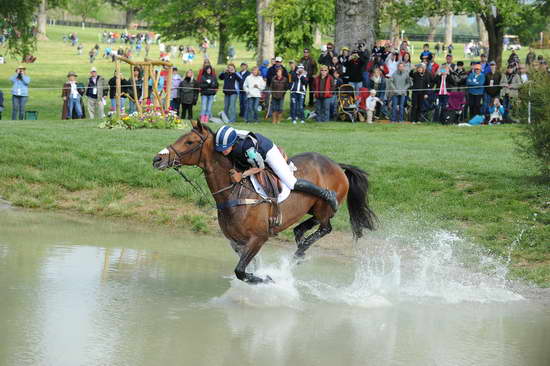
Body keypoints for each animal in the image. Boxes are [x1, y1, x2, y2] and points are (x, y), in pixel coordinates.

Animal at [153, 121, 378, 284]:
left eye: (190, 142)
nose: (157, 159)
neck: (234, 192)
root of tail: (338, 165)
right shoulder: (237, 242)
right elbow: (248, 267)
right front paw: (260, 275)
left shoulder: (258, 238)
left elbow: (240, 271)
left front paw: (265, 279)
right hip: (314, 208)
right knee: (306, 226)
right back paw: (300, 247)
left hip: (322, 208)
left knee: (325, 226)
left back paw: (301, 249)